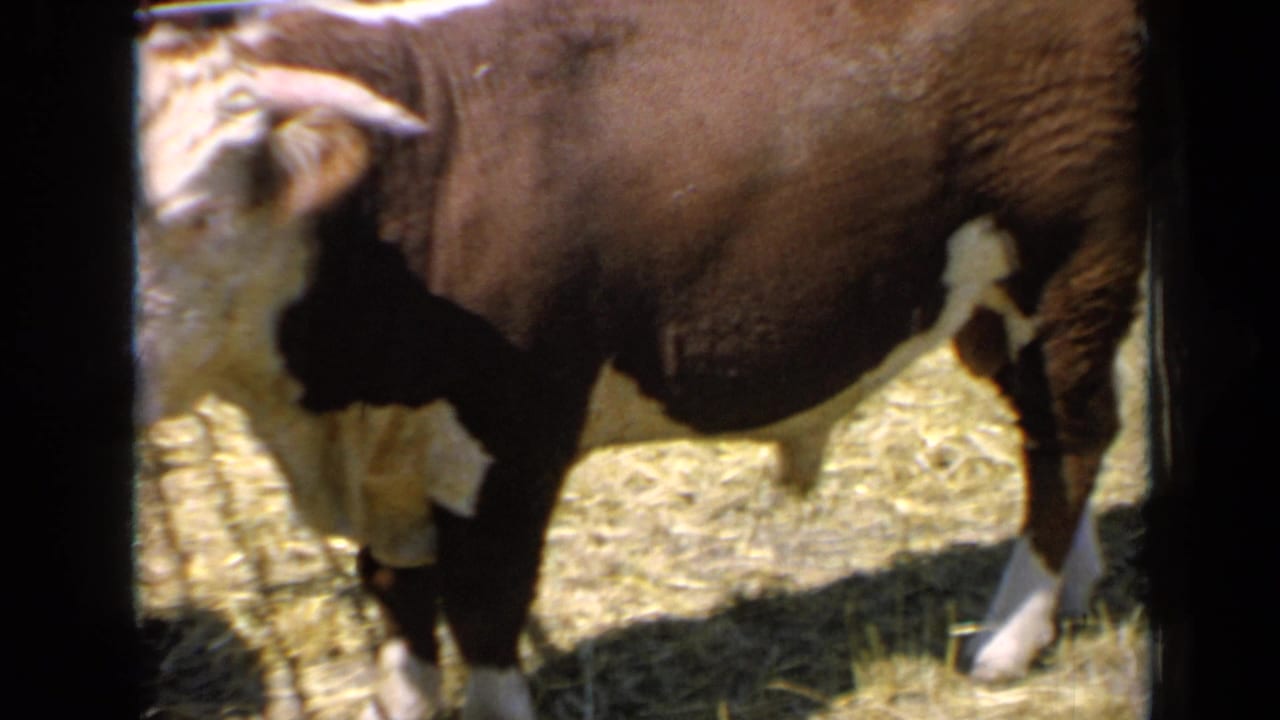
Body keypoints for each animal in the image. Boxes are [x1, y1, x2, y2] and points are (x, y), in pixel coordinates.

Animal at [134, 1, 1149, 718]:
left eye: (196, 213)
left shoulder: (516, 440)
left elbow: (487, 614)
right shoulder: (391, 457)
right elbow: (399, 615)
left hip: (1076, 264)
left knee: (1075, 435)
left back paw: (1010, 635)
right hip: (985, 296)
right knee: (1044, 431)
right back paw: (1069, 588)